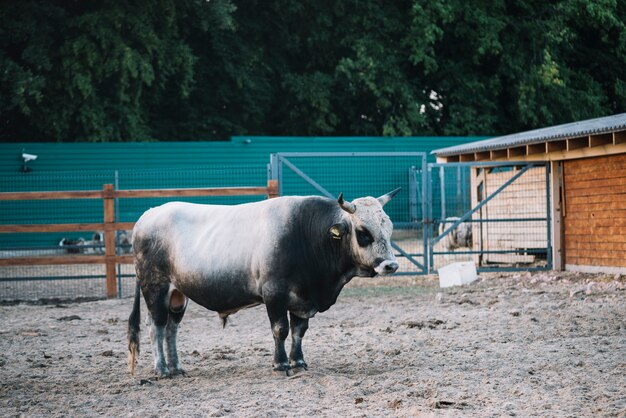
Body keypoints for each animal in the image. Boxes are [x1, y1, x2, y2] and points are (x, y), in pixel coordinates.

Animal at [127, 188, 400, 378]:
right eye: (363, 232)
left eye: (389, 228)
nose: (391, 265)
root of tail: (147, 215)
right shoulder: (274, 293)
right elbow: (280, 329)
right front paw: (281, 364)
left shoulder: (302, 299)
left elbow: (299, 331)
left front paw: (299, 362)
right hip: (156, 289)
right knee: (157, 326)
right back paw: (162, 370)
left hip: (178, 295)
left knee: (171, 329)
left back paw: (176, 368)